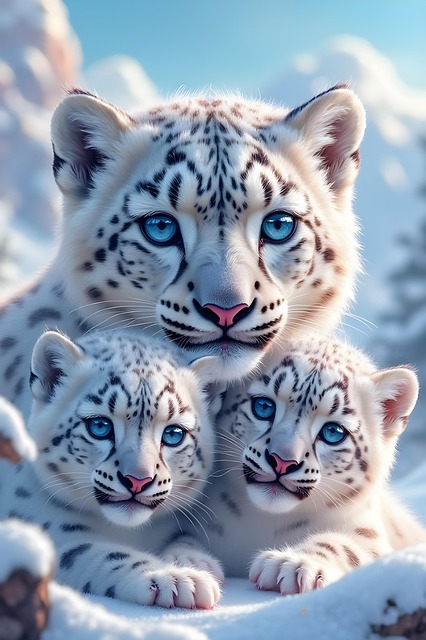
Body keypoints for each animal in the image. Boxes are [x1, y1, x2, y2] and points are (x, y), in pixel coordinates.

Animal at [0, 328, 223, 608]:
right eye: (99, 426)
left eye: (173, 434)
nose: (137, 480)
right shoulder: (50, 534)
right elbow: (104, 553)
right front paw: (180, 579)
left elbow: (183, 536)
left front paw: (195, 560)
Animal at [168, 334, 426, 594]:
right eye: (263, 407)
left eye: (333, 432)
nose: (283, 461)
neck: (264, 521)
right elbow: (180, 537)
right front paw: (188, 565)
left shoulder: (369, 534)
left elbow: (345, 545)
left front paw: (292, 564)